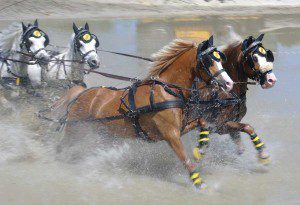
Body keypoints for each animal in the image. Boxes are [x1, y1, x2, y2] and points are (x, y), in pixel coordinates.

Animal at [52, 36, 233, 189]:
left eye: (220, 58)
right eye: (208, 61)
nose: (229, 83)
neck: (167, 91)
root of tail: (81, 94)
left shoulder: (180, 127)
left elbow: (203, 123)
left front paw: (201, 148)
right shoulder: (170, 134)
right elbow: (185, 158)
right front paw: (199, 183)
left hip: (102, 133)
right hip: (75, 129)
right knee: (61, 147)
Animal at [191, 34, 278, 164]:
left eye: (268, 56)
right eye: (254, 58)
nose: (271, 80)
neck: (226, 93)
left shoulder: (233, 122)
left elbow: (239, 144)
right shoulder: (219, 125)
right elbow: (248, 127)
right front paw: (262, 153)